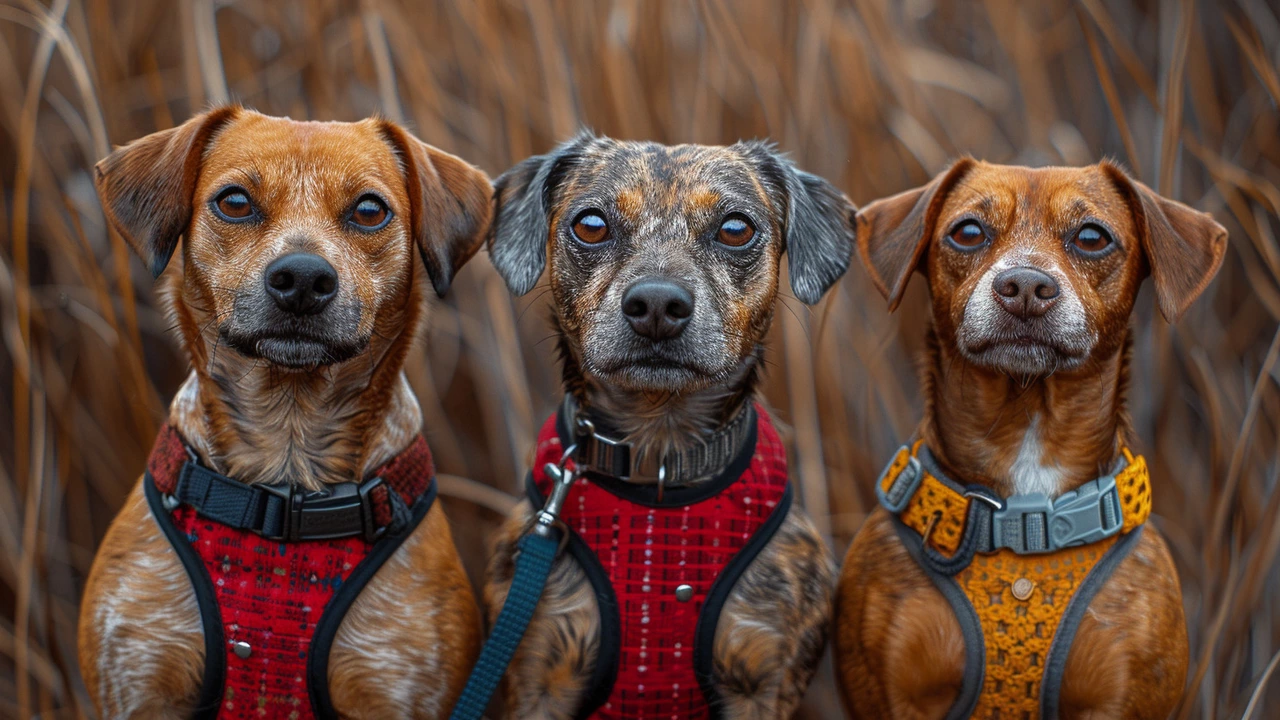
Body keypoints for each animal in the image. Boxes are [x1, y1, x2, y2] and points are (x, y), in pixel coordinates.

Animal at [481, 135, 849, 717]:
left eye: (736, 228)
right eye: (590, 224)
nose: (656, 302)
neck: (660, 454)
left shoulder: (764, 674)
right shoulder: (537, 671)